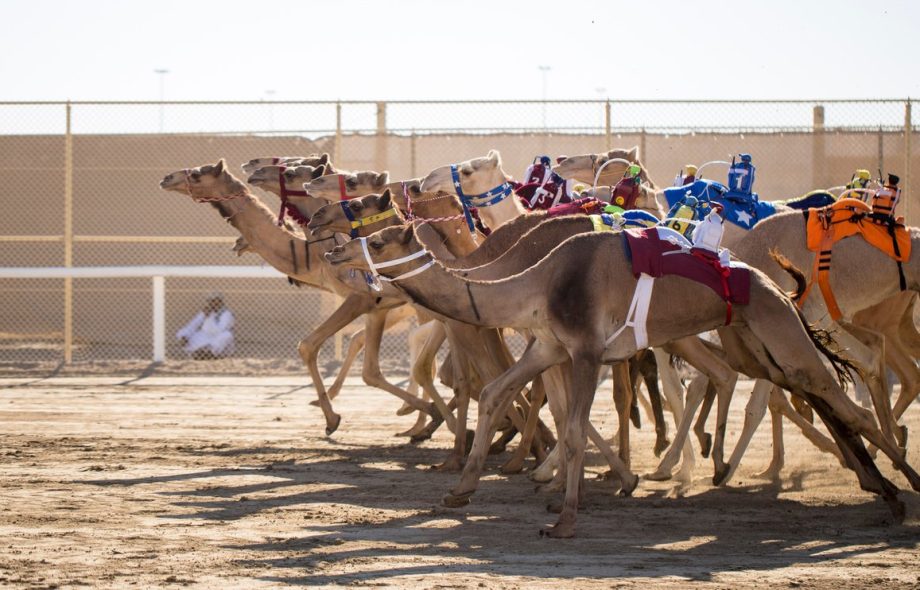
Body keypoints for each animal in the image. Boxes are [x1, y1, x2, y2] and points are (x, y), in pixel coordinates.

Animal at [328, 222, 920, 536]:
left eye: (380, 240)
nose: (334, 250)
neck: (537, 281)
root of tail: (777, 285)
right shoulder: (550, 345)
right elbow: (497, 392)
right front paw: (459, 492)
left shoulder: (587, 349)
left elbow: (571, 428)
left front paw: (565, 519)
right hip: (756, 342)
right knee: (811, 394)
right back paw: (883, 490)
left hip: (777, 328)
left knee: (843, 400)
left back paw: (900, 493)